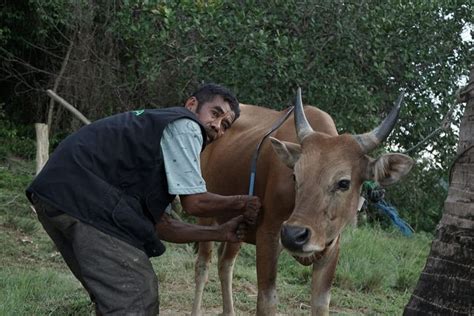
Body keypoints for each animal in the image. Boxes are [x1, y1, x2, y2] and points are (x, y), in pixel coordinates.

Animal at [191, 89, 412, 316]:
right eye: (295, 176)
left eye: (343, 183)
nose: (293, 235)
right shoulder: (268, 237)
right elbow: (267, 301)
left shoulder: (331, 250)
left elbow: (321, 304)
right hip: (206, 216)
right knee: (203, 266)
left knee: (225, 263)